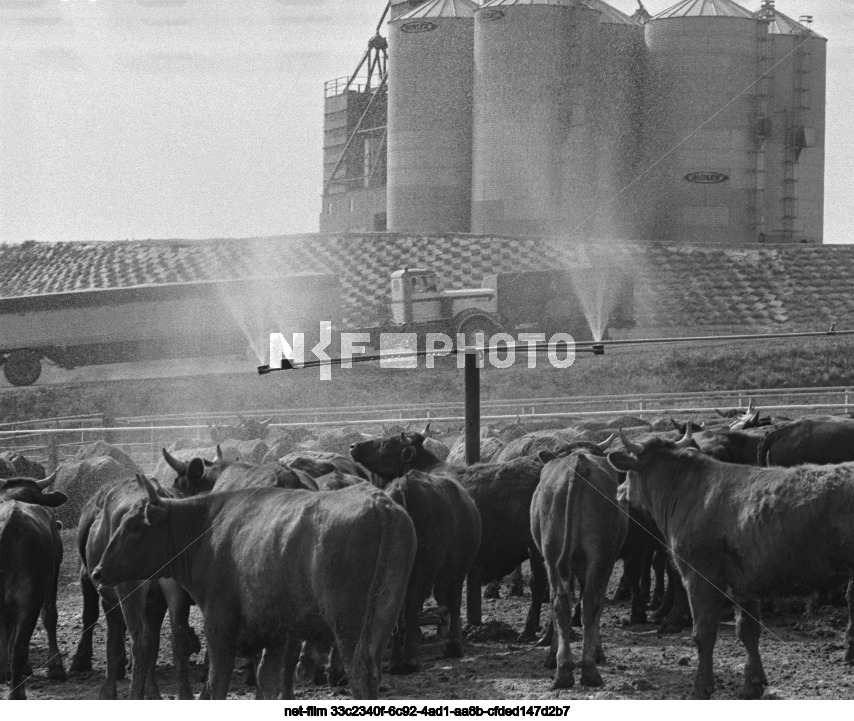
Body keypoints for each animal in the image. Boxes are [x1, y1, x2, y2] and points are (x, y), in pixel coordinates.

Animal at [93, 476, 414, 700]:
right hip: (382, 619)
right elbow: (266, 682)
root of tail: (379, 502)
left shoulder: (219, 625)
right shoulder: (276, 635)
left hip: (348, 626)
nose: (98, 571)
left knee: (359, 672)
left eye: (134, 526)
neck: (206, 529)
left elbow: (216, 684)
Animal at [380, 470, 482, 672]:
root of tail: (402, 490)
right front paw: (455, 645)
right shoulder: (458, 570)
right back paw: (411, 660)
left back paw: (396, 661)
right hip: (426, 567)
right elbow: (453, 601)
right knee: (413, 604)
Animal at [536, 448, 628, 688]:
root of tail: (579, 462)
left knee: (561, 602)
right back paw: (587, 668)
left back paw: (564, 670)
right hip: (598, 556)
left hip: (555, 555)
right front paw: (598, 650)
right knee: (589, 602)